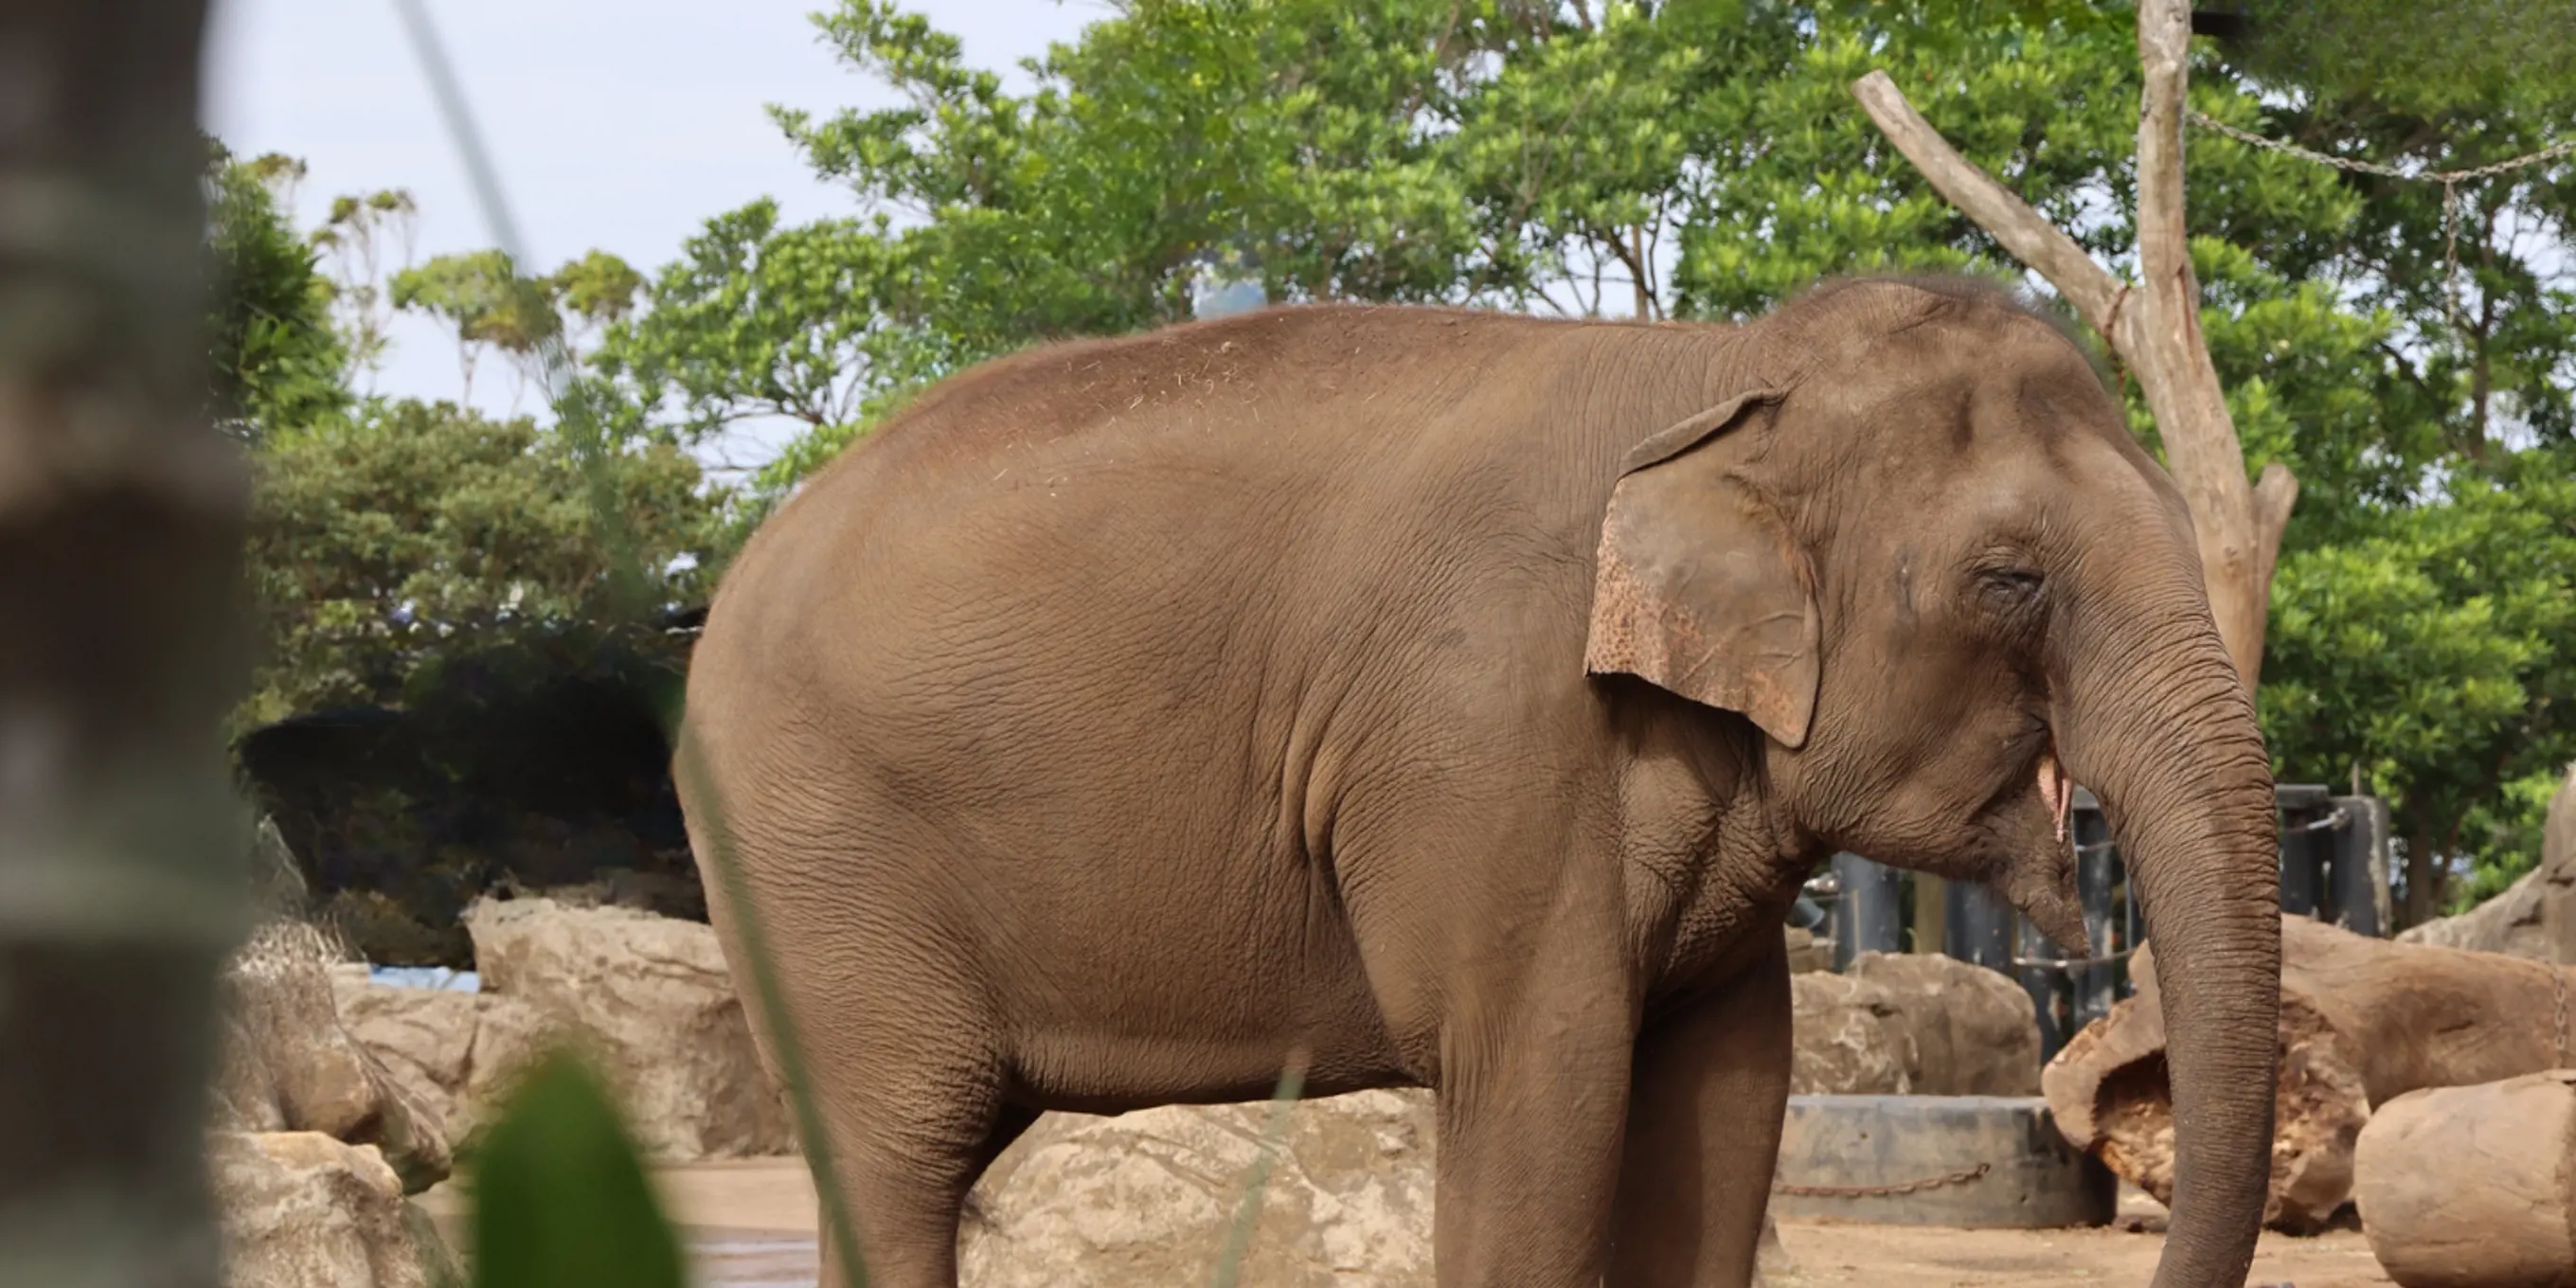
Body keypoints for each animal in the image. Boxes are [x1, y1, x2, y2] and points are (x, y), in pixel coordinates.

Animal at [673, 275, 2282, 1288]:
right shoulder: (1493, 734)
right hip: (815, 864)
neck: (1719, 372)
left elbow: (1728, 1101)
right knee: (895, 1162)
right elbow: (1542, 1089)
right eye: (2011, 581)